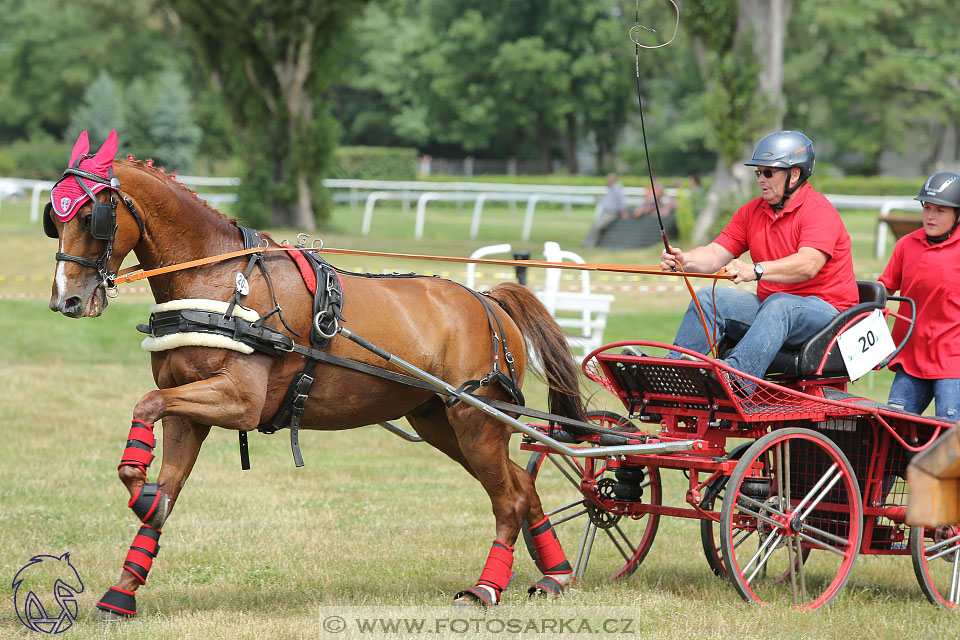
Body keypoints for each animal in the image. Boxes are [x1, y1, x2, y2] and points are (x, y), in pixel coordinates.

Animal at [48, 132, 588, 616]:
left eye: (93, 217)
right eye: (54, 220)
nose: (65, 300)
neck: (220, 282)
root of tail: (488, 301)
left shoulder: (238, 402)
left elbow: (145, 404)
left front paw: (140, 490)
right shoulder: (189, 409)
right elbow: (167, 488)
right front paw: (123, 586)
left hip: (476, 420)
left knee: (508, 499)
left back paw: (486, 587)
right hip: (441, 421)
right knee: (522, 485)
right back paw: (555, 576)